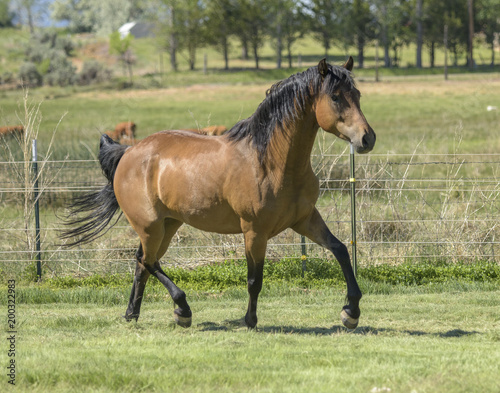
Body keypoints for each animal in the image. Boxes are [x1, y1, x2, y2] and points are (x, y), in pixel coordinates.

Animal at [61, 57, 376, 328]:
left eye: (357, 94)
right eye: (335, 96)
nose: (367, 138)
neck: (271, 162)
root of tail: (129, 152)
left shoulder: (305, 220)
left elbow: (340, 250)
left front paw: (351, 312)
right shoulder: (254, 231)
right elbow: (254, 279)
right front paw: (250, 320)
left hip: (168, 225)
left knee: (142, 263)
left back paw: (133, 314)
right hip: (150, 226)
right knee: (148, 262)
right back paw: (182, 310)